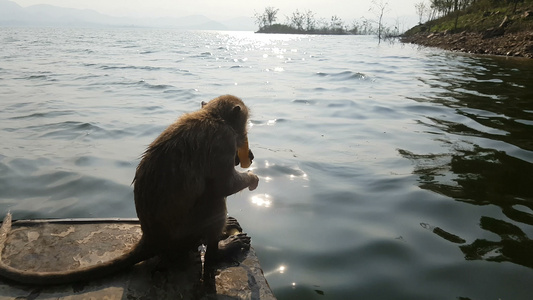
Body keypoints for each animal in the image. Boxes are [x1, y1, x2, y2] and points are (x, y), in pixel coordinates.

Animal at [0, 95, 260, 284]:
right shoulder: (224, 141)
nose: (249, 154)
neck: (212, 117)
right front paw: (252, 177)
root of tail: (151, 238)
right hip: (184, 233)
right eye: (244, 129)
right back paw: (219, 251)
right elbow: (223, 185)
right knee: (213, 197)